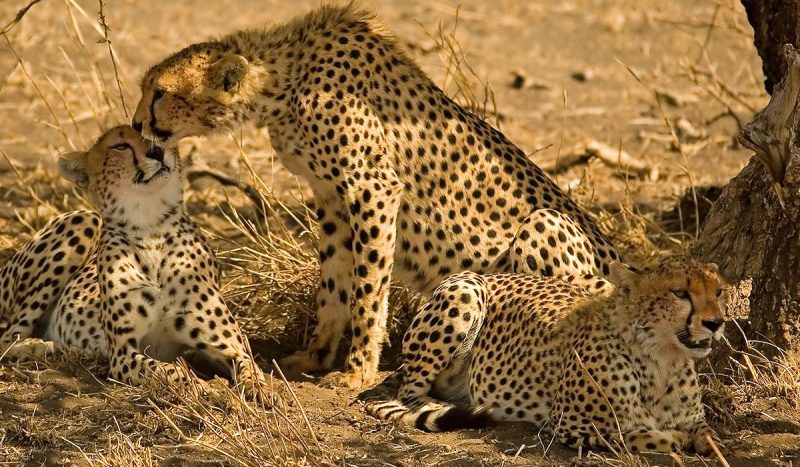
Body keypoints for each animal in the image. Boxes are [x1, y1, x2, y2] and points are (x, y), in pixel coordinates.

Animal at [0, 125, 267, 396]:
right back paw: (44, 347)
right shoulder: (123, 353)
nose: (157, 152)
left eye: (160, 136)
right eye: (121, 146)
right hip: (84, 219)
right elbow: (168, 369)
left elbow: (252, 369)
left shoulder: (231, 347)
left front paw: (260, 392)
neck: (151, 227)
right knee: (8, 337)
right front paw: (202, 387)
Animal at [131, 3, 620, 388]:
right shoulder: (331, 197)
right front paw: (317, 354)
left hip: (545, 224)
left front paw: (358, 370)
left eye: (160, 94)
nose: (136, 124)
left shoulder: (373, 189)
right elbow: (333, 283)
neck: (284, 80)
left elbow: (368, 286)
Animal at [366, 255, 725, 455]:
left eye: (718, 291)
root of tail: (490, 273)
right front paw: (671, 438)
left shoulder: (697, 420)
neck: (662, 359)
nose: (716, 322)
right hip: (466, 291)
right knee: (408, 395)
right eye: (679, 293)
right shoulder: (570, 426)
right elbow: (635, 436)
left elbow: (710, 436)